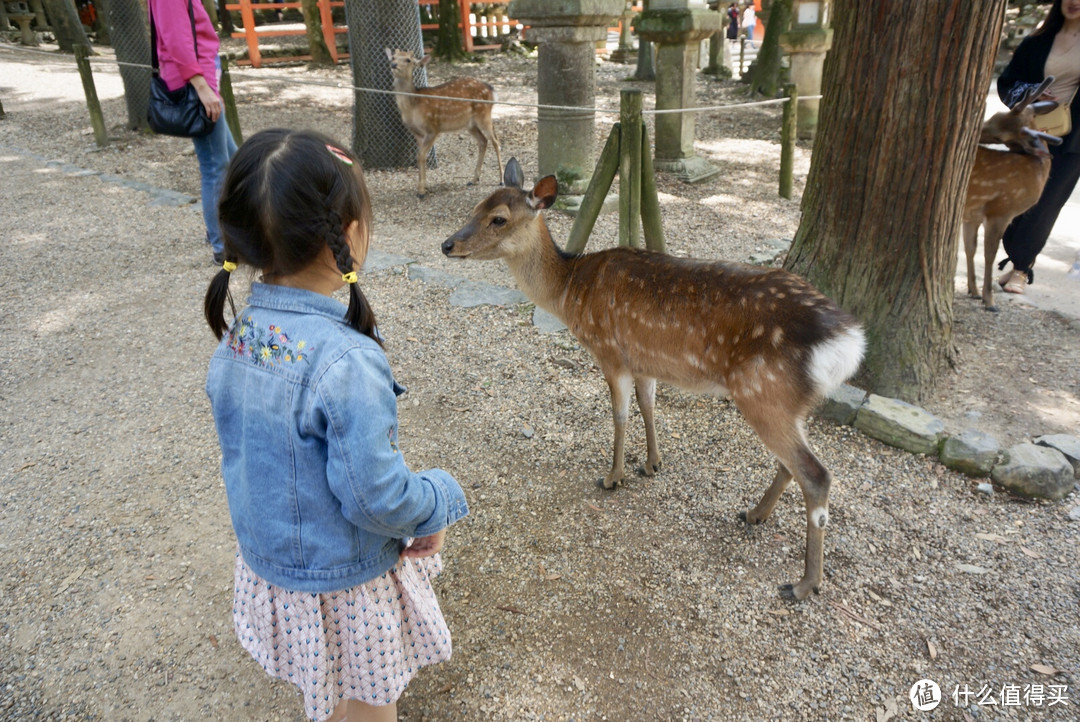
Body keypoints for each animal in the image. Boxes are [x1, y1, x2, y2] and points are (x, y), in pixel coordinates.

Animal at [386, 47, 503, 198]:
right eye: (393, 57)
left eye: (408, 60)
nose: (393, 65)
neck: (412, 107)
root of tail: (491, 90)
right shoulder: (417, 133)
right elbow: (422, 156)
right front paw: (424, 186)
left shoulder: (432, 128)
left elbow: (420, 156)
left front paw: (421, 191)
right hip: (470, 124)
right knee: (483, 141)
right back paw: (474, 179)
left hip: (484, 115)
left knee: (495, 141)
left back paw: (501, 179)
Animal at [442, 158, 864, 604]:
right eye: (476, 205)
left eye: (498, 218)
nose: (447, 245)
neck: (570, 292)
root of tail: (849, 342)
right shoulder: (642, 360)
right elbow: (648, 406)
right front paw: (651, 463)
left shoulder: (610, 351)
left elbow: (619, 415)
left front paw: (613, 477)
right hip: (793, 403)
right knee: (792, 464)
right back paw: (754, 514)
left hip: (763, 391)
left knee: (815, 473)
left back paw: (804, 583)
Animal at [963, 77, 1062, 310]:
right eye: (994, 115)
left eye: (1000, 134)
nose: (974, 134)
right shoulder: (1001, 210)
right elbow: (989, 255)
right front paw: (989, 300)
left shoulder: (973, 215)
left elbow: (971, 249)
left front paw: (973, 291)